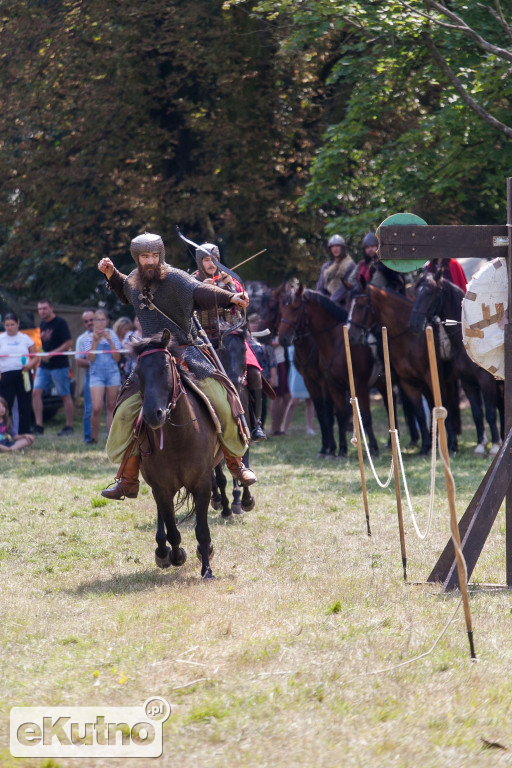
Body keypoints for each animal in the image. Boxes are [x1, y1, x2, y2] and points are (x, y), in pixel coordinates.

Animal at [134, 328, 218, 576]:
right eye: (137, 373)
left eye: (164, 367)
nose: (152, 414)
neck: (179, 438)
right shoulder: (161, 487)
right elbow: (172, 529)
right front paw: (176, 555)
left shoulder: (202, 483)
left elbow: (202, 529)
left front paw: (206, 568)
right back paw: (163, 552)